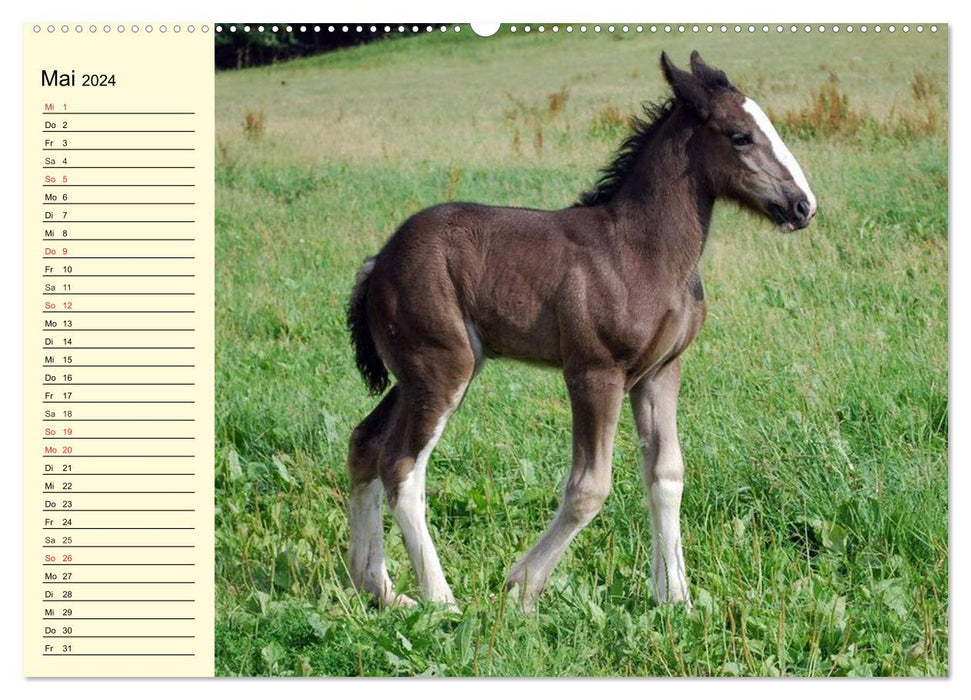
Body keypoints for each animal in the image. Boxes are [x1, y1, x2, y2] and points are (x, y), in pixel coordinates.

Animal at [346, 50, 816, 608]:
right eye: (741, 136)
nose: (803, 205)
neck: (642, 250)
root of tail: (377, 263)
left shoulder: (660, 372)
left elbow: (667, 473)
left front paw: (675, 598)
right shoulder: (594, 372)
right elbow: (589, 486)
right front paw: (522, 585)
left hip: (421, 371)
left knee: (366, 442)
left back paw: (377, 588)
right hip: (440, 368)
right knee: (401, 465)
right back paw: (440, 600)